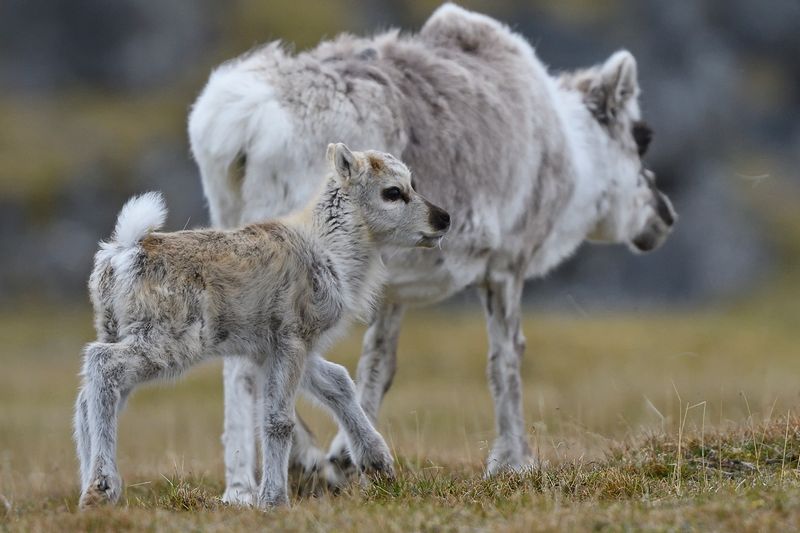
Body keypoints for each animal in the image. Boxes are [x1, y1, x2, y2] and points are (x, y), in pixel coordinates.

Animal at [74, 143, 450, 510]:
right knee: (101, 363)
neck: (330, 252)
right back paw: (100, 488)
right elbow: (279, 419)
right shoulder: (292, 339)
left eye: (413, 183)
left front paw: (380, 466)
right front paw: (274, 500)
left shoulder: (276, 349)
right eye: (393, 192)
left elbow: (339, 381)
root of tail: (122, 253)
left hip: (117, 330)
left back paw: (94, 488)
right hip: (170, 341)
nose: (443, 219)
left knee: (86, 398)